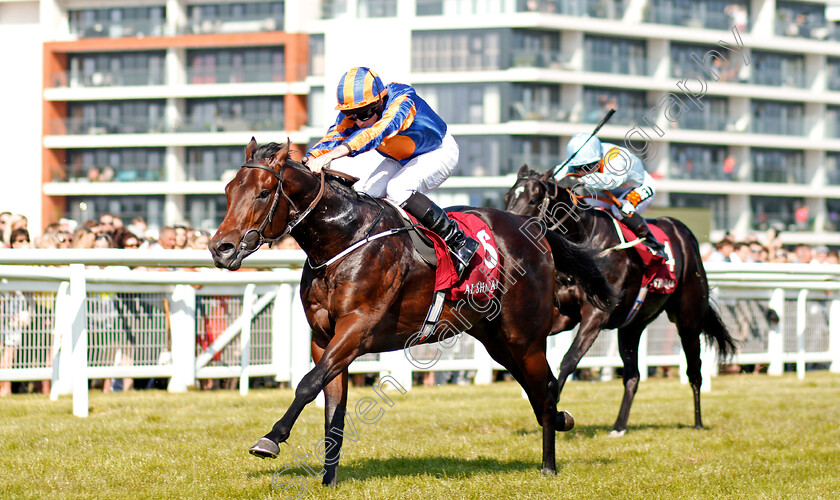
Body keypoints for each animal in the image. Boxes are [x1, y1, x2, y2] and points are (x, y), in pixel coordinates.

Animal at [207, 140, 612, 484]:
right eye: (228, 190)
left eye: (263, 193)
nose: (220, 248)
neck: (343, 239)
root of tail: (537, 230)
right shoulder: (324, 339)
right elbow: (332, 406)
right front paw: (328, 480)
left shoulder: (358, 328)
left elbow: (307, 384)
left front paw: (271, 438)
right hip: (497, 340)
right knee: (537, 390)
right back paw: (560, 423)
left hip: (524, 337)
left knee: (544, 390)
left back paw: (549, 465)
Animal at [506, 166, 736, 436]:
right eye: (508, 196)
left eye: (533, 199)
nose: (509, 233)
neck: (587, 239)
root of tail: (682, 231)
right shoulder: (564, 314)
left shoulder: (595, 315)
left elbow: (569, 360)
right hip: (631, 328)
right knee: (632, 376)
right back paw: (619, 426)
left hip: (688, 320)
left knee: (694, 371)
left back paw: (698, 422)